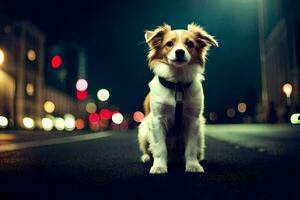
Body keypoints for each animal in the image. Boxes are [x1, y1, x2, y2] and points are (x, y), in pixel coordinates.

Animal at [138, 23, 218, 173]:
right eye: (169, 44)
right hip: (144, 130)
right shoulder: (157, 120)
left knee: (197, 149)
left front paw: (193, 165)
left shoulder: (194, 121)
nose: (179, 52)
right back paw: (146, 157)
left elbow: (191, 148)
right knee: (148, 149)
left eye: (190, 44)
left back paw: (199, 158)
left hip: (201, 133)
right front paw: (159, 166)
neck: (178, 85)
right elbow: (159, 147)